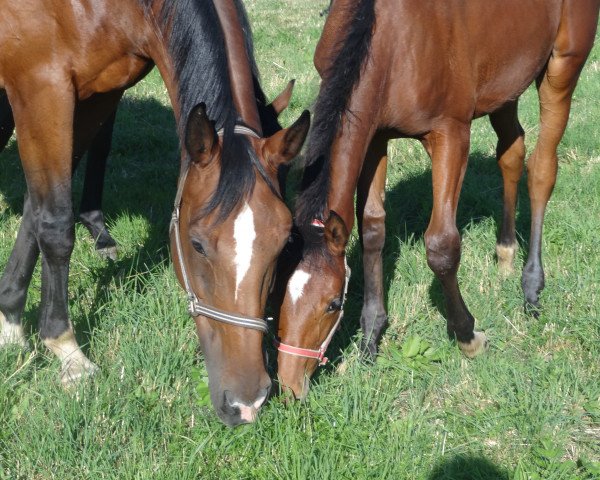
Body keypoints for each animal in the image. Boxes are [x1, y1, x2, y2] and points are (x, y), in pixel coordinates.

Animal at [0, 0, 310, 428]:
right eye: (196, 245)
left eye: (283, 244)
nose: (247, 402)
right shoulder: (42, 87)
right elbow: (55, 223)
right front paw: (66, 349)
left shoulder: (98, 93)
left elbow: (35, 211)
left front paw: (10, 318)